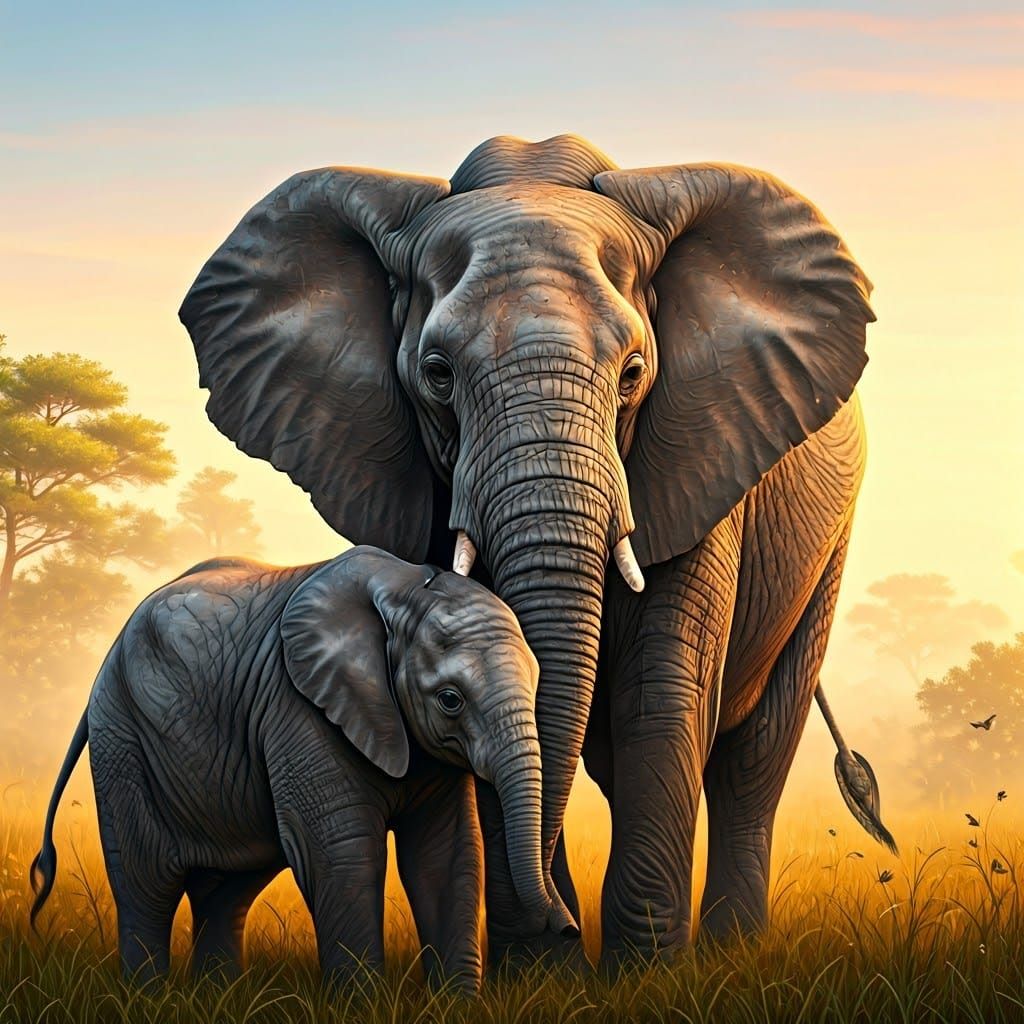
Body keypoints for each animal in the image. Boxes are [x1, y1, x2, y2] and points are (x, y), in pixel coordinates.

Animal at [30, 546, 569, 990]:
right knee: (147, 883)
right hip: (122, 736)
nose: (565, 926)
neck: (409, 587)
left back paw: (218, 997)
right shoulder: (299, 707)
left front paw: (456, 1004)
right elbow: (343, 853)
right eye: (450, 699)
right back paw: (148, 997)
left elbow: (446, 855)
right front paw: (362, 1006)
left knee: (226, 891)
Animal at [177, 133, 894, 967]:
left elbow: (661, 691)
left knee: (756, 755)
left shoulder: (701, 447)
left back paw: (731, 952)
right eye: (437, 375)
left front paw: (643, 976)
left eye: (634, 373)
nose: (560, 923)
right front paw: (540, 970)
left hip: (829, 541)